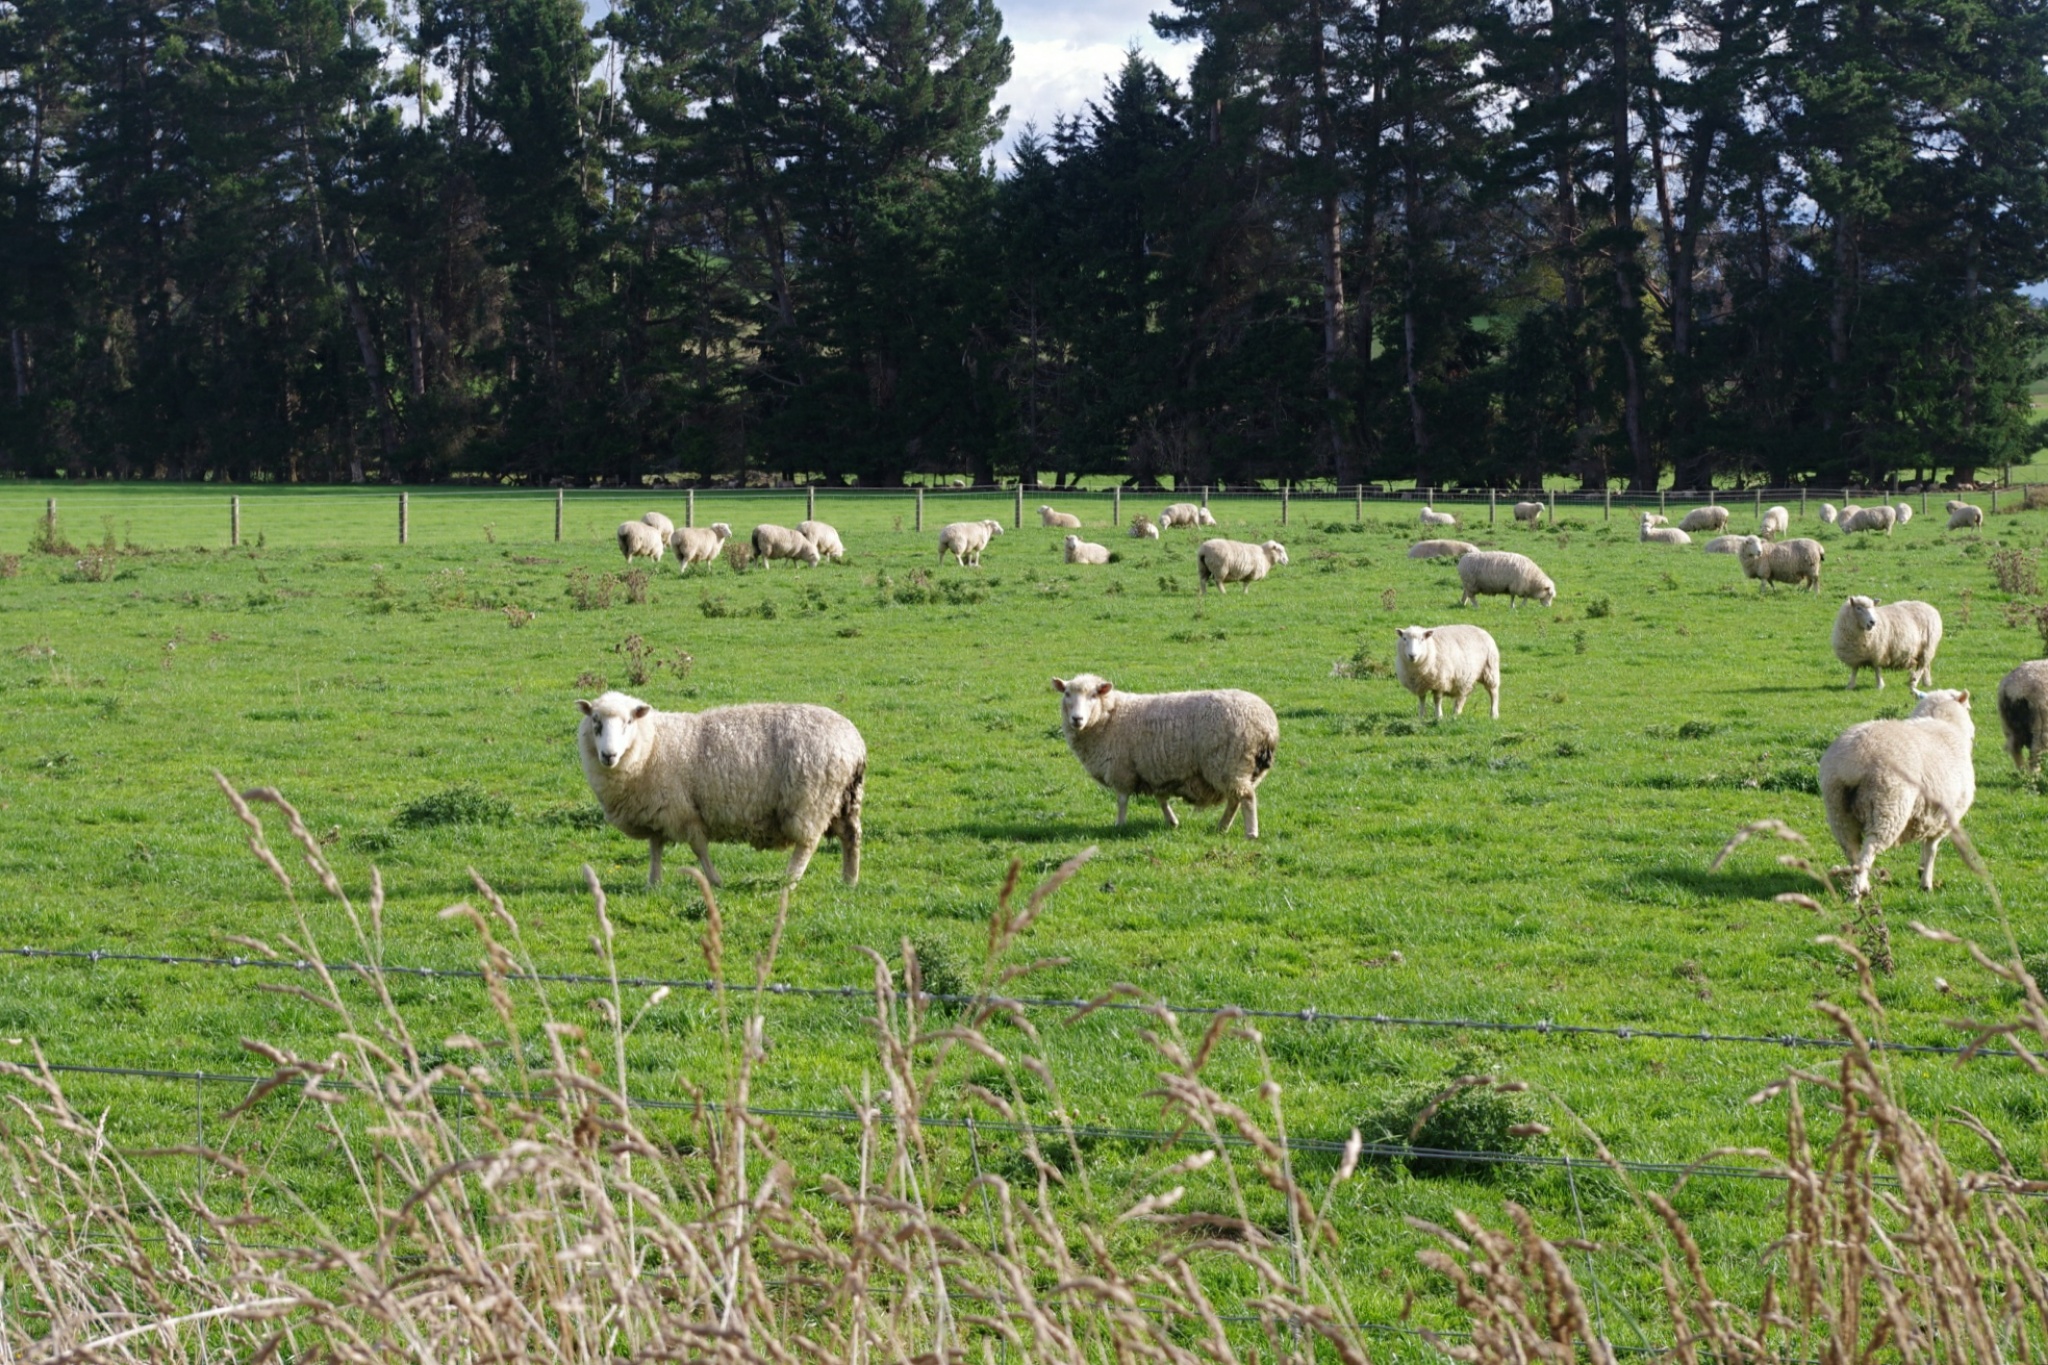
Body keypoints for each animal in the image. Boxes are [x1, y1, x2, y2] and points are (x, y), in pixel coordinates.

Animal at [576, 690, 866, 888]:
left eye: (628, 722)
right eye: (596, 722)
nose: (608, 755)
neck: (652, 745)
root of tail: (855, 742)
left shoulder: (684, 811)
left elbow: (699, 848)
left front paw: (715, 880)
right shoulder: (658, 810)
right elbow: (655, 848)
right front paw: (653, 882)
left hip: (811, 800)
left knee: (807, 843)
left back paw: (789, 881)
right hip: (843, 799)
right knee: (851, 835)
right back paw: (849, 880)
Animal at [1051, 673, 1278, 837]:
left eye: (1093, 695)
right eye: (1067, 694)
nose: (1076, 719)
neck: (1109, 716)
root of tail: (1268, 725)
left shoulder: (1122, 769)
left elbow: (1122, 800)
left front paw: (1119, 825)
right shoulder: (1154, 770)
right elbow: (1160, 798)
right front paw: (1172, 821)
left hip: (1228, 763)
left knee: (1246, 797)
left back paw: (1251, 833)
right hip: (1242, 769)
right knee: (1235, 800)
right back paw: (1222, 827)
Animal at [1819, 687, 1975, 898]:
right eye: (1969, 707)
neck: (1945, 722)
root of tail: (1853, 762)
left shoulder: (1929, 814)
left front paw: (1921, 871)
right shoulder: (1945, 816)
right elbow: (1931, 849)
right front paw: (1926, 883)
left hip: (1838, 810)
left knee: (1852, 852)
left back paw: (1861, 885)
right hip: (1887, 807)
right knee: (1868, 851)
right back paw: (1857, 894)